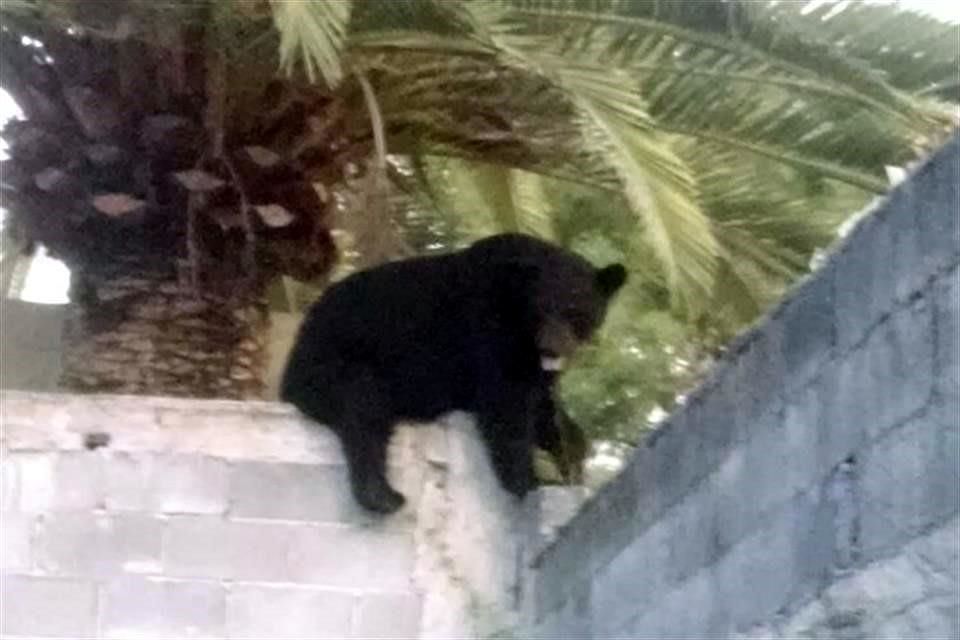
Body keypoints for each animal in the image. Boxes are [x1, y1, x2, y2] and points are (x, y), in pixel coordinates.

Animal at [280, 233, 626, 514]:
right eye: (541, 310)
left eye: (576, 312)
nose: (552, 348)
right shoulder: (488, 327)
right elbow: (506, 406)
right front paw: (528, 482)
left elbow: (543, 406)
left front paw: (572, 452)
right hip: (336, 361)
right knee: (363, 410)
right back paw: (382, 495)